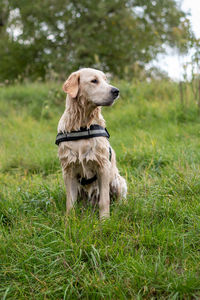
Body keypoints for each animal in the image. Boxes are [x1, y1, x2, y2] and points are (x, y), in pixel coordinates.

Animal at [56, 68, 126, 218]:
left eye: (106, 80)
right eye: (94, 81)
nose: (116, 91)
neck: (81, 125)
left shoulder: (103, 166)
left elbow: (104, 200)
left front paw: (105, 220)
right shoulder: (68, 169)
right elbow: (70, 203)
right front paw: (69, 220)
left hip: (118, 181)